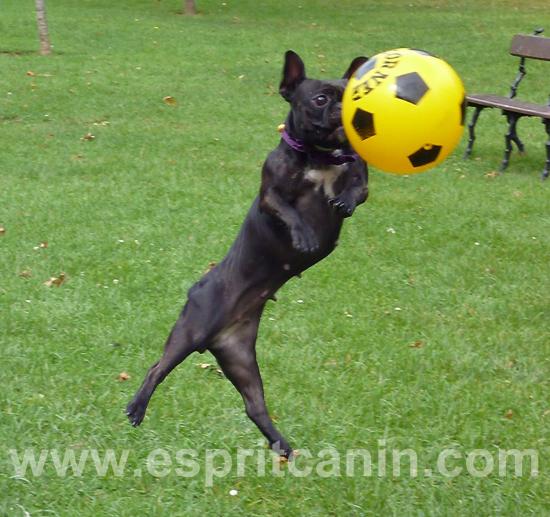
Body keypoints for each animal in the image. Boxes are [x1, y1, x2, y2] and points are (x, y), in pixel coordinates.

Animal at [128, 50, 370, 458]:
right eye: (321, 99)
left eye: (350, 93)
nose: (343, 109)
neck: (320, 158)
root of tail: (214, 339)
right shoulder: (269, 193)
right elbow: (286, 209)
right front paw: (304, 235)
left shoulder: (358, 170)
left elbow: (359, 187)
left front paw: (344, 201)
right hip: (190, 331)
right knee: (157, 367)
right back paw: (137, 406)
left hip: (241, 360)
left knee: (254, 405)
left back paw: (280, 442)